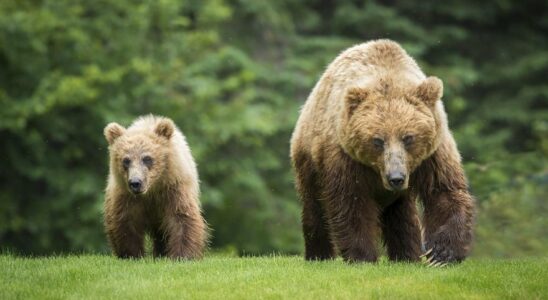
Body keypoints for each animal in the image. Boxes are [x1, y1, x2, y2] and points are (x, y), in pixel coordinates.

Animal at [103, 115, 208, 260]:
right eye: (126, 160)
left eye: (147, 158)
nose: (135, 182)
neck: (152, 189)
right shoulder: (126, 196)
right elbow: (126, 223)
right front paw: (132, 254)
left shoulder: (174, 189)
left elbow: (181, 218)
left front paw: (182, 255)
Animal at [292, 39, 476, 264]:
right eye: (378, 140)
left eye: (408, 137)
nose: (396, 177)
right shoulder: (345, 159)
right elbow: (351, 204)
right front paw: (362, 256)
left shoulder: (432, 155)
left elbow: (444, 191)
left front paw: (442, 253)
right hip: (309, 158)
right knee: (315, 207)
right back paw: (318, 254)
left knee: (403, 215)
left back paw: (407, 254)